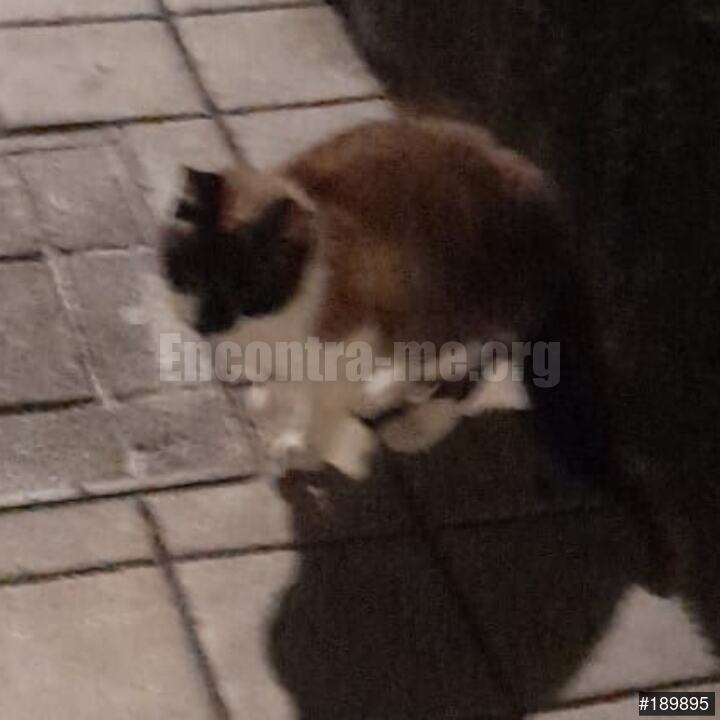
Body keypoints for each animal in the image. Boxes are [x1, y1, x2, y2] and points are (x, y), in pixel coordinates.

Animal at [161, 116, 593, 481]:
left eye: (243, 288)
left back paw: (413, 427)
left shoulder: (352, 337)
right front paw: (273, 401)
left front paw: (303, 448)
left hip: (471, 313)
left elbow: (320, 409)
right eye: (194, 276)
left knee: (468, 370)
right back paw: (378, 394)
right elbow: (285, 387)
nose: (206, 323)